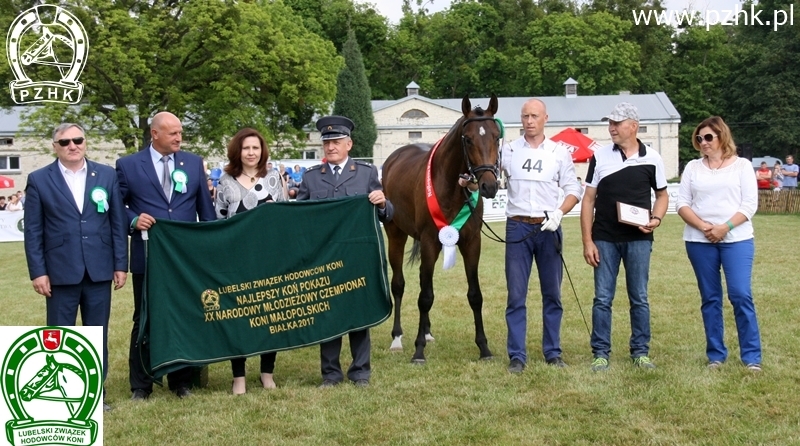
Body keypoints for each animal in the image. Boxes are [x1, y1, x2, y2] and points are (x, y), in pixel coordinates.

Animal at [382, 94, 500, 362]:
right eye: (468, 139)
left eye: (496, 136)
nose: (489, 186)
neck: (450, 186)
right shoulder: (429, 241)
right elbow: (424, 297)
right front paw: (418, 352)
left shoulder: (471, 243)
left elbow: (475, 295)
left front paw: (484, 348)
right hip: (395, 234)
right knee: (399, 285)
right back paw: (397, 338)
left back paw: (426, 332)